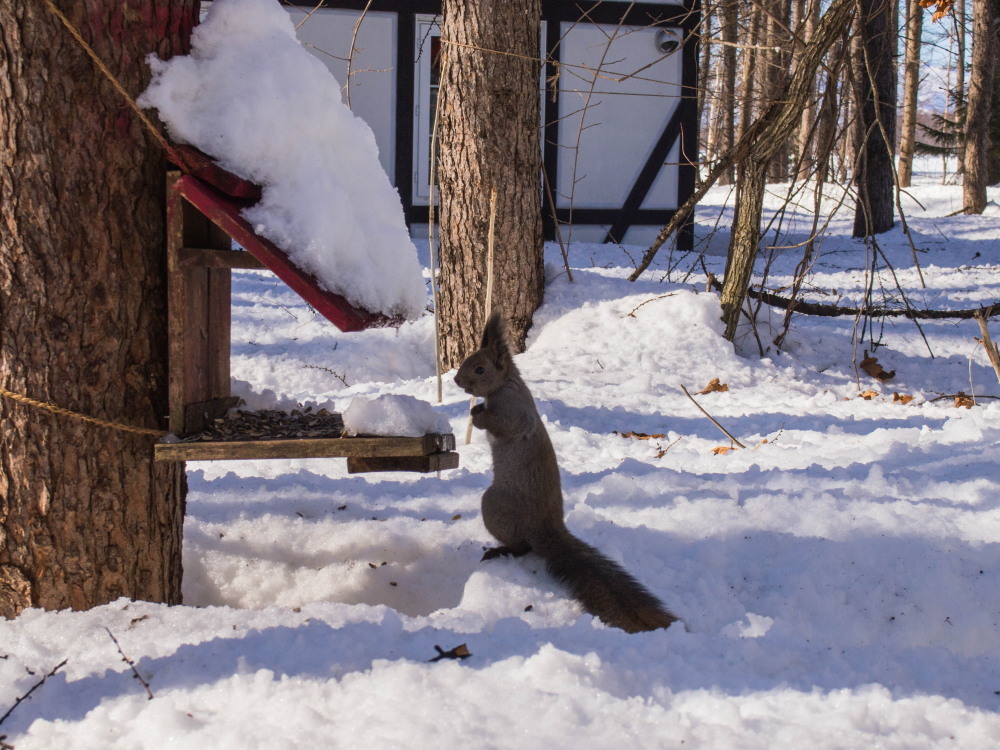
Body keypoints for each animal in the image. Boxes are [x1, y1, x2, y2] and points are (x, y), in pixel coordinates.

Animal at [456, 312, 680, 636]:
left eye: (480, 368)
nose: (457, 380)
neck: (507, 385)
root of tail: (547, 530)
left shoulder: (513, 413)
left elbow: (501, 424)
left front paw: (477, 415)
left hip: (495, 506)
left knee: (522, 546)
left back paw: (500, 551)